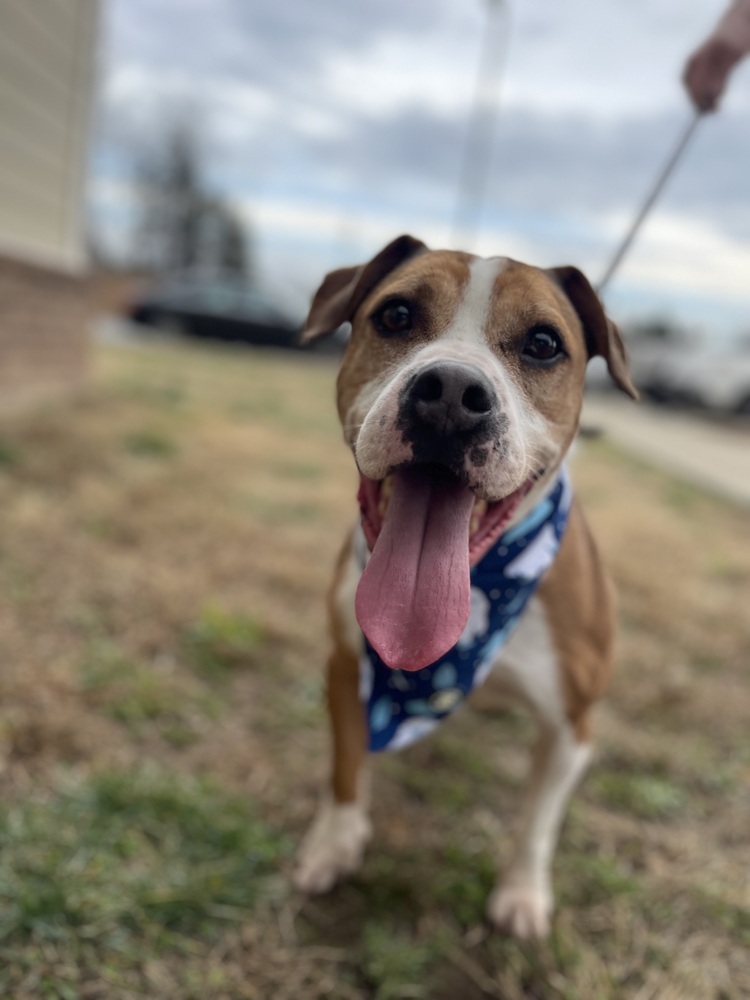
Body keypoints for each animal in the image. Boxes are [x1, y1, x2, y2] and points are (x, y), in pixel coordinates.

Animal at [290, 238, 636, 940]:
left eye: (543, 343)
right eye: (395, 315)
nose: (450, 392)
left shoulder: (573, 724)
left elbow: (538, 823)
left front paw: (522, 894)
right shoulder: (345, 665)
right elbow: (345, 767)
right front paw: (334, 843)